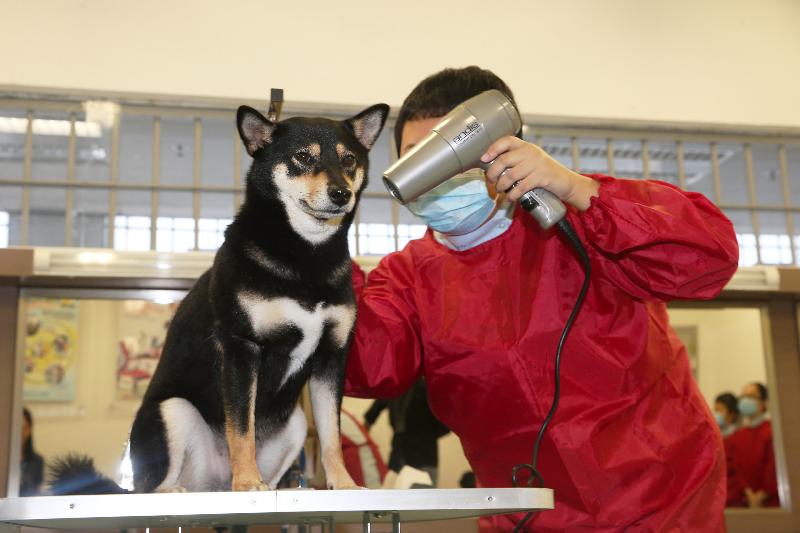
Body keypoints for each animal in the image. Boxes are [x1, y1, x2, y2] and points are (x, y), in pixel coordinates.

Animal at [130, 101, 390, 490]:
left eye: (349, 160)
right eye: (302, 157)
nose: (341, 193)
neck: (306, 258)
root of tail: (216, 481)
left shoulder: (331, 356)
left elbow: (331, 434)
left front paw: (342, 482)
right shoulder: (242, 347)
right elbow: (241, 428)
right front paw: (248, 482)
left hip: (295, 422)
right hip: (173, 409)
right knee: (147, 487)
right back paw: (185, 488)